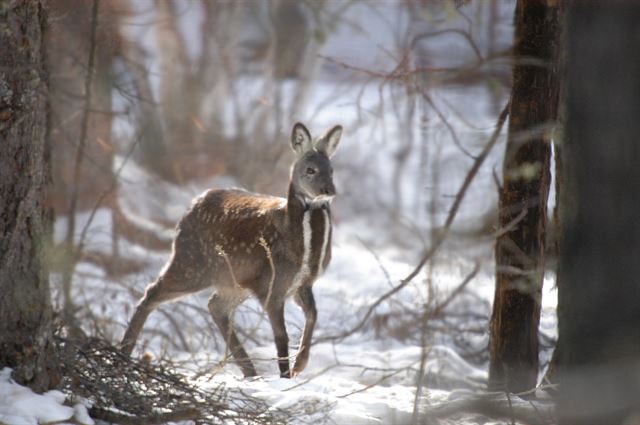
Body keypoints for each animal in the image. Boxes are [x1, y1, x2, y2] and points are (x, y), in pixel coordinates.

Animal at [119, 121, 340, 378]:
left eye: (331, 169)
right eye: (311, 170)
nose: (329, 190)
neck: (302, 250)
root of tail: (190, 208)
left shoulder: (302, 283)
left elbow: (314, 315)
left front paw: (300, 365)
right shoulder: (272, 282)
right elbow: (281, 336)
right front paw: (286, 376)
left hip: (233, 279)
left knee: (215, 306)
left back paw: (250, 372)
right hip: (191, 262)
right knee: (153, 291)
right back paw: (124, 351)